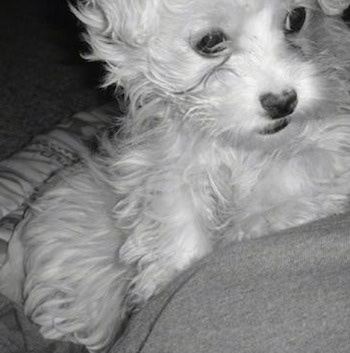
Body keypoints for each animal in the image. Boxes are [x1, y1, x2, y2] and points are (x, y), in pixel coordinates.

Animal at [0, 0, 350, 350]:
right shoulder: (165, 167)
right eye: (209, 41)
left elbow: (296, 174)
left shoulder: (330, 143)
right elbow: (179, 225)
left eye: (297, 18)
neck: (242, 146)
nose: (283, 102)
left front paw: (250, 222)